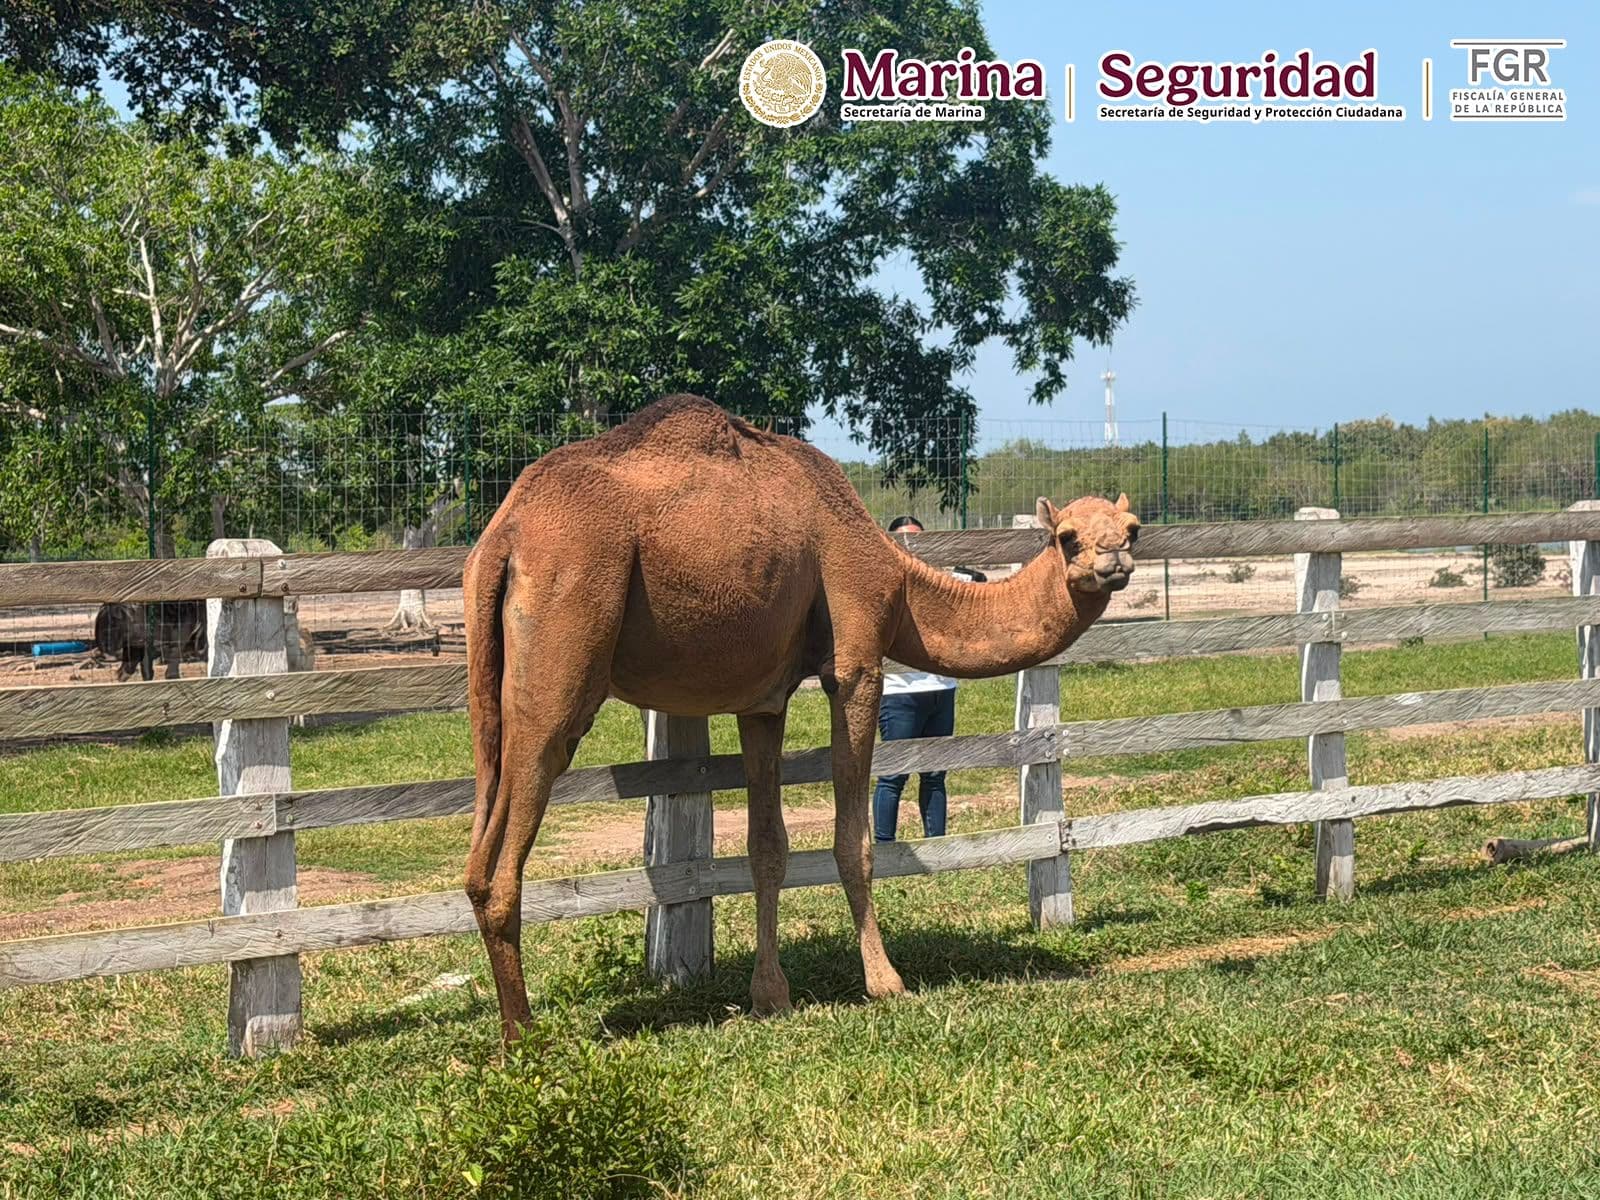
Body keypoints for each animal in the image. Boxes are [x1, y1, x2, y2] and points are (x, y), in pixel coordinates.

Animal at [463, 394, 1139, 1039]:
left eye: (1130, 529)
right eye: (1067, 537)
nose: (1113, 563)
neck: (898, 578)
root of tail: (505, 535)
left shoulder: (763, 699)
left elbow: (767, 846)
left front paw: (770, 996)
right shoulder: (857, 658)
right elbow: (853, 839)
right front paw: (885, 981)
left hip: (490, 677)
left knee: (481, 831)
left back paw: (514, 1025)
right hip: (568, 621)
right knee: (519, 817)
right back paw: (524, 1037)